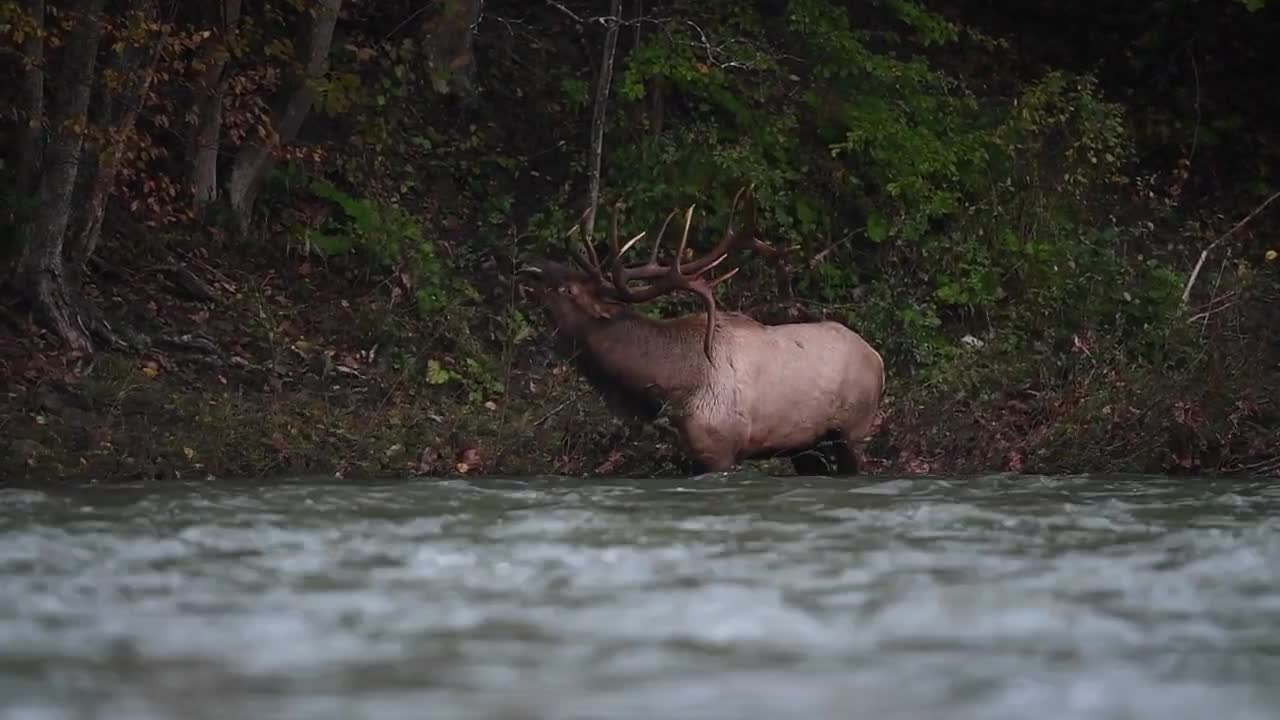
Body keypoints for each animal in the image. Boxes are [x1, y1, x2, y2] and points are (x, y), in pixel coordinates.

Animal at [514, 188, 885, 474]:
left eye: (568, 290)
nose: (530, 266)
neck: (664, 389)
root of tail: (878, 359)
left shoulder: (719, 450)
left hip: (854, 431)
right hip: (806, 446)